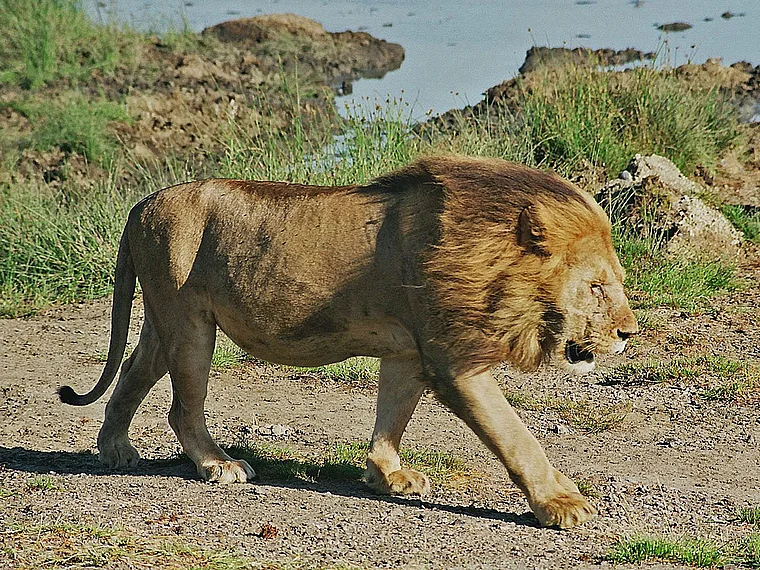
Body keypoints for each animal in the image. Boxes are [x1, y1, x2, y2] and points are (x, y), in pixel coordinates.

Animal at [59, 155, 638, 529]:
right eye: (596, 287)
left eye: (616, 281)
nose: (628, 334)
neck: (491, 258)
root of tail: (143, 203)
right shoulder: (454, 361)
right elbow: (515, 435)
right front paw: (561, 502)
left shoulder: (408, 349)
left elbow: (393, 414)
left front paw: (388, 476)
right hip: (188, 322)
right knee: (182, 407)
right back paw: (217, 466)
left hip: (165, 323)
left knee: (130, 376)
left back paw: (115, 450)